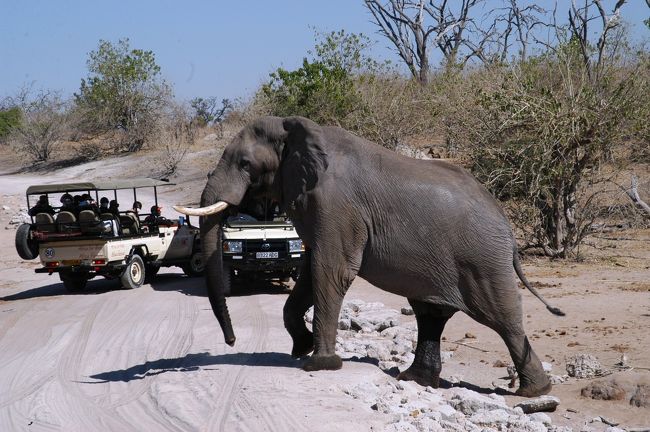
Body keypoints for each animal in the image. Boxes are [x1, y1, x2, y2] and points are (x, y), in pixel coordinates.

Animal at [173, 115, 560, 398]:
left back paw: (535, 394)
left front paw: (319, 365)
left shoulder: (335, 207)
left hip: (482, 260)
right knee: (431, 314)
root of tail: (507, 228)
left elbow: (331, 271)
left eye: (245, 164)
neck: (296, 129)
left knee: (502, 318)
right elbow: (311, 273)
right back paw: (416, 379)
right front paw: (301, 348)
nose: (231, 341)